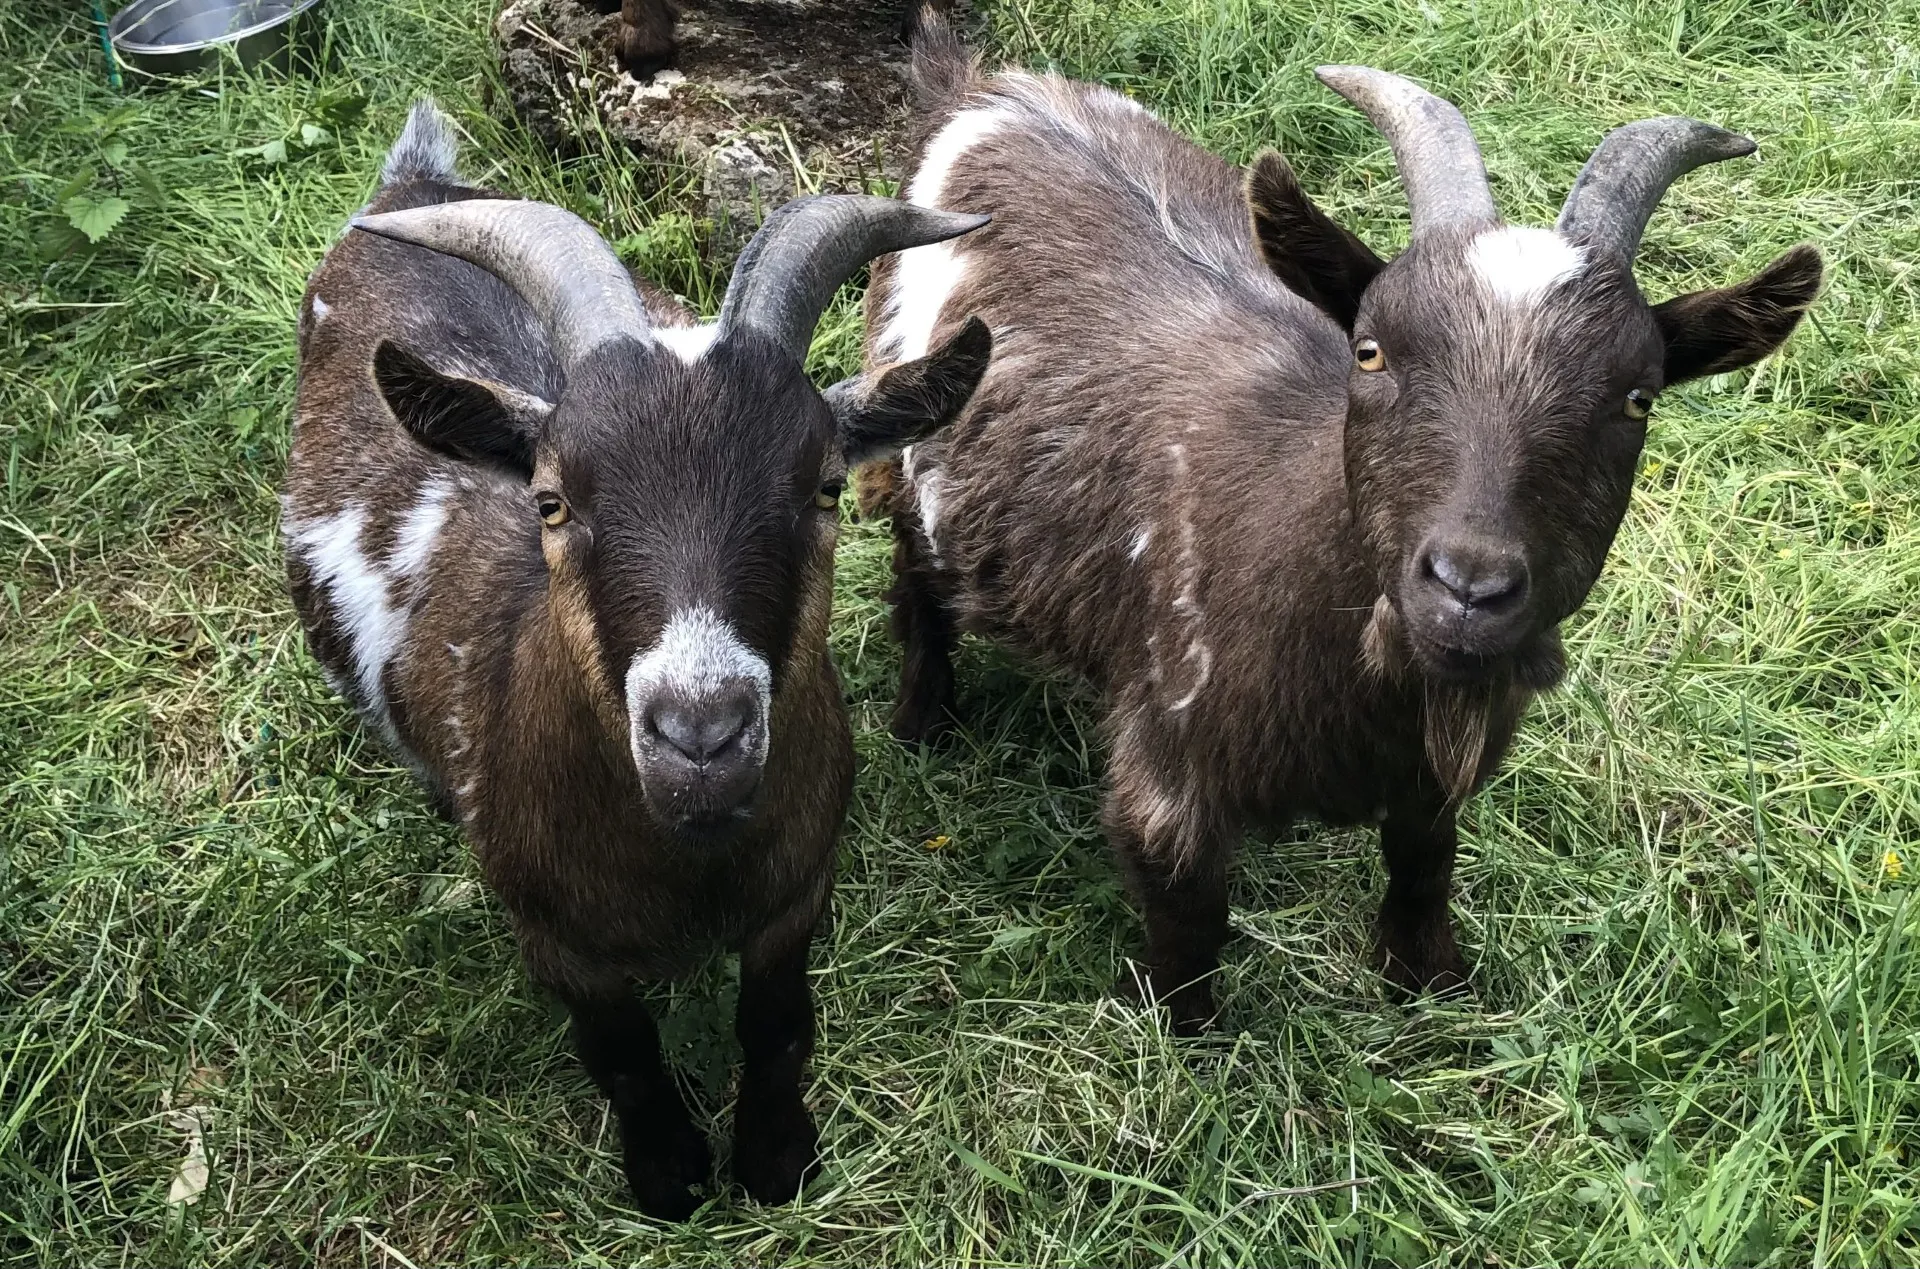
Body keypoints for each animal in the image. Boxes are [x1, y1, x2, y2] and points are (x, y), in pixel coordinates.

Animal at [284, 101, 991, 1217]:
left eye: (827, 485)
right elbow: (619, 1049)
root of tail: (410, 187)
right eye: (550, 498)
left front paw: (775, 1159)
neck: (685, 865)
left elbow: (778, 1022)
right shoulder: (554, 933)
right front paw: (668, 1174)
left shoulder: (798, 888)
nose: (700, 735)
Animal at [859, 20, 1822, 1033]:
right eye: (1370, 349)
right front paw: (1183, 1037)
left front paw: (1429, 986)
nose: (1469, 588)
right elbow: (1188, 925)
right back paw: (926, 721)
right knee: (914, 570)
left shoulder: (1433, 778)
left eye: (1639, 397)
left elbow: (1424, 866)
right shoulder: (1168, 769)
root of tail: (980, 91)